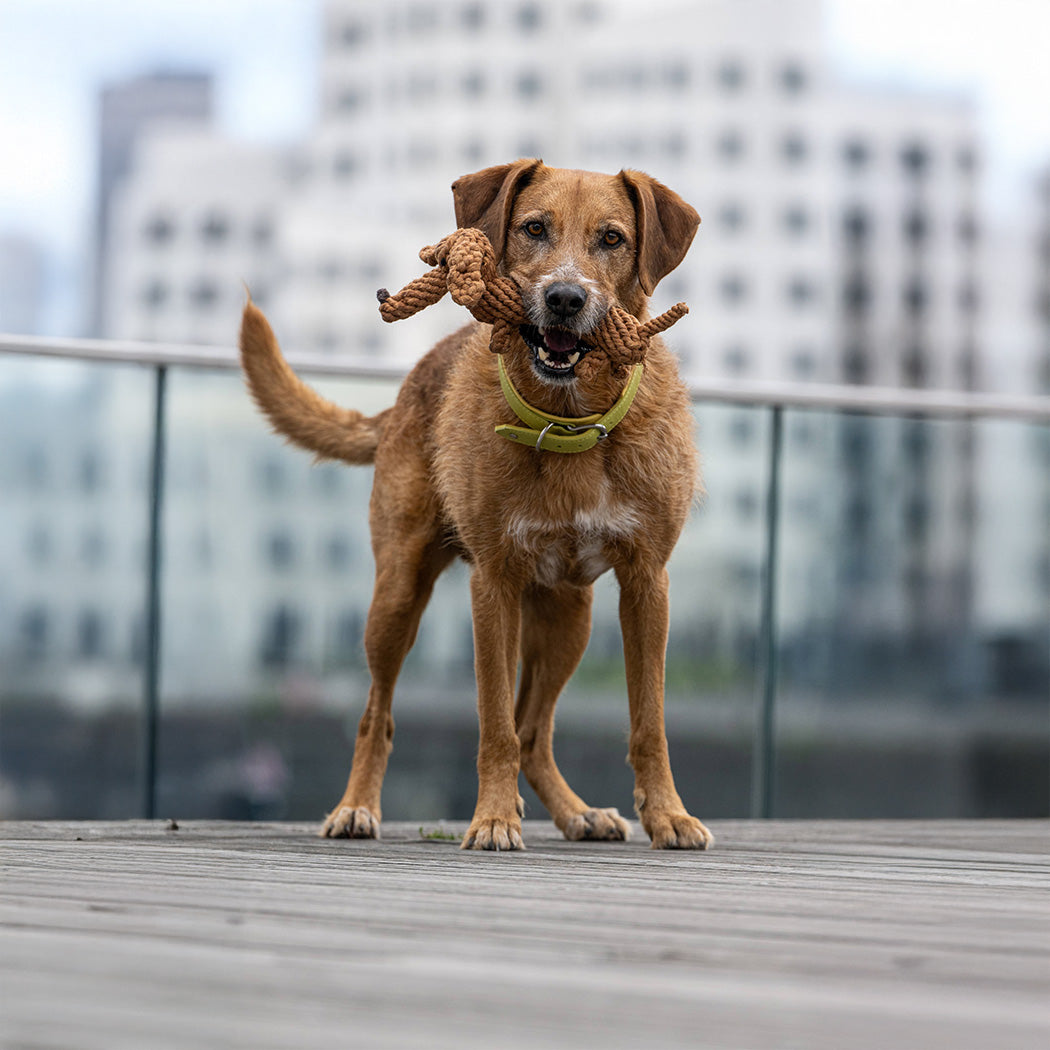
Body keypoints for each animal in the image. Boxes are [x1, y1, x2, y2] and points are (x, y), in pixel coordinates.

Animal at [239, 161, 713, 852]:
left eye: (613, 238)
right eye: (533, 228)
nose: (564, 299)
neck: (567, 424)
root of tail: (409, 386)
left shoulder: (647, 583)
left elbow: (647, 720)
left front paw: (669, 815)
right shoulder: (494, 583)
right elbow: (492, 720)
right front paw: (492, 818)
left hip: (570, 617)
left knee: (534, 731)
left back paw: (577, 813)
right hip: (397, 595)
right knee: (378, 713)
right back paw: (356, 808)